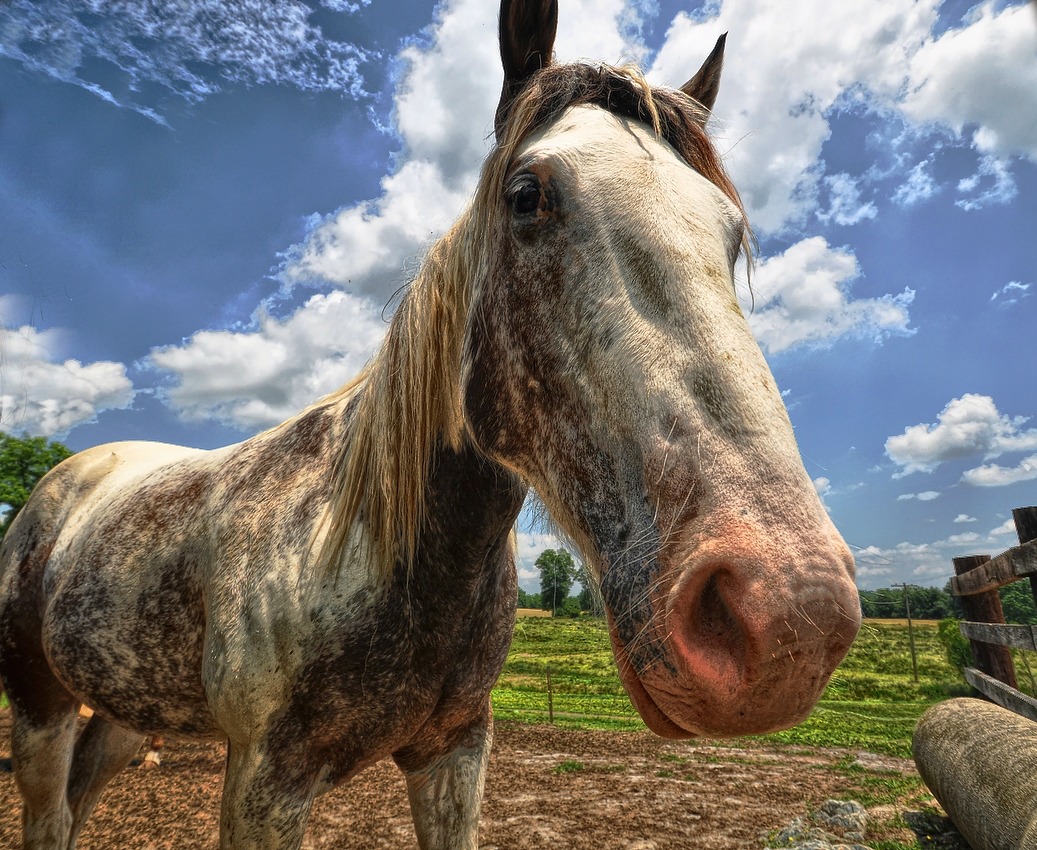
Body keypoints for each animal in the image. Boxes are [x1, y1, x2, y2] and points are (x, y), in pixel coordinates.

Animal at [0, 3, 858, 845]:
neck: (382, 548)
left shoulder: (454, 753)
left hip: (122, 714)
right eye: (525, 196)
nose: (789, 618)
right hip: (41, 705)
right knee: (49, 816)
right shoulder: (262, 783)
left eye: (730, 232)